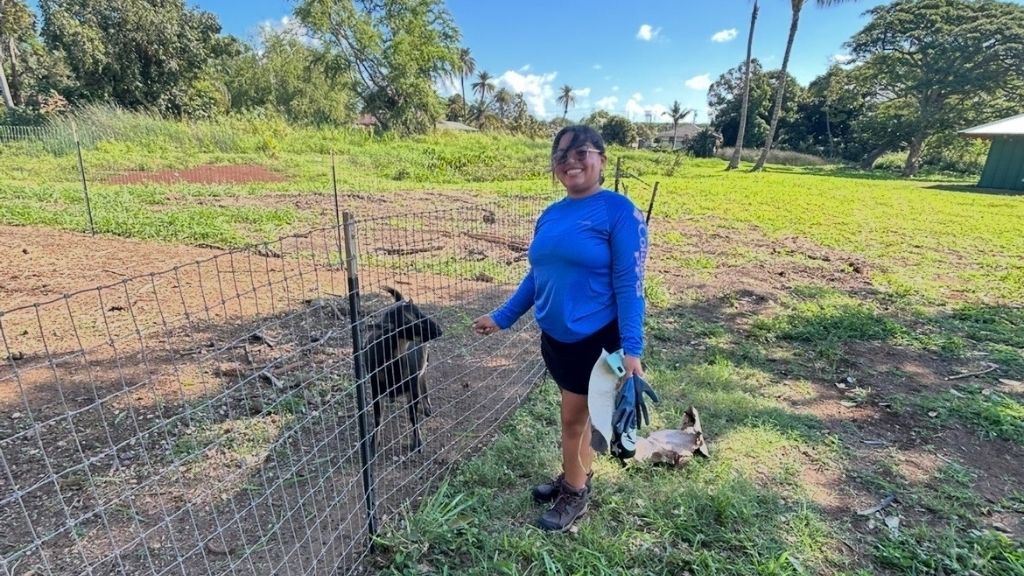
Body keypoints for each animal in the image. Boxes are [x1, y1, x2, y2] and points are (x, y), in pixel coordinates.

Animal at [360, 286, 440, 453]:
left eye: (419, 311)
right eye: (405, 321)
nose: (438, 330)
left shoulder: (412, 384)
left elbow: (413, 415)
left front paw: (418, 443)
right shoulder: (376, 386)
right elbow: (378, 416)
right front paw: (373, 445)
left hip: (423, 363)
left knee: (424, 378)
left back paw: (427, 408)